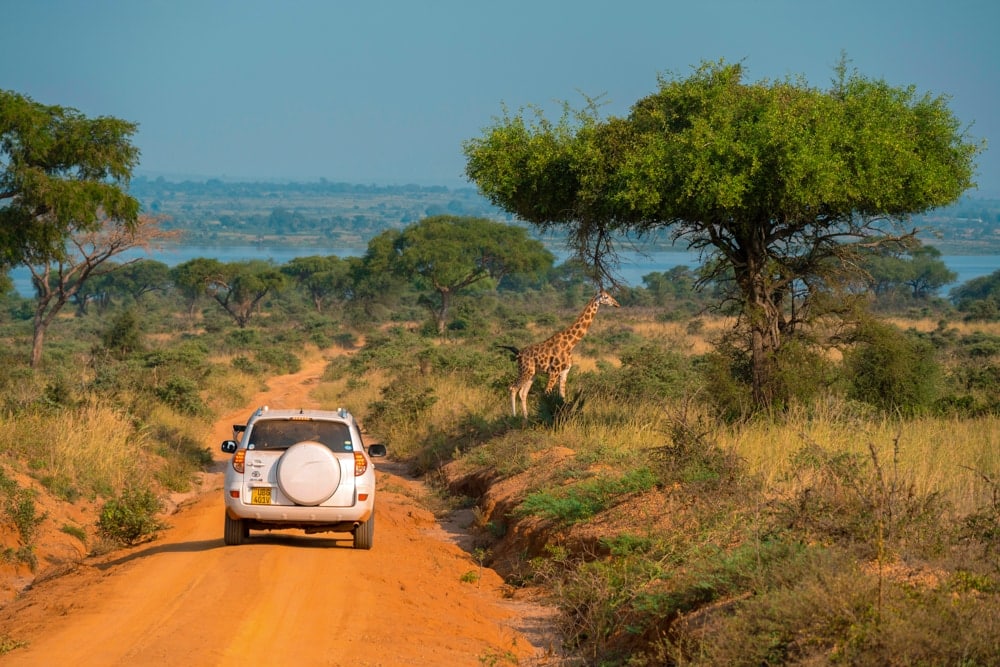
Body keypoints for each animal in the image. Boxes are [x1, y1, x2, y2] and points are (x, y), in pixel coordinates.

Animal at [498, 288, 616, 418]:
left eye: (610, 295)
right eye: (605, 297)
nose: (617, 304)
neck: (570, 344)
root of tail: (519, 354)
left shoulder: (564, 372)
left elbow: (562, 396)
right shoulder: (554, 371)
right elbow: (546, 393)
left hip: (532, 373)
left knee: (523, 393)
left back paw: (526, 417)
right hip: (525, 371)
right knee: (512, 388)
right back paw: (514, 417)